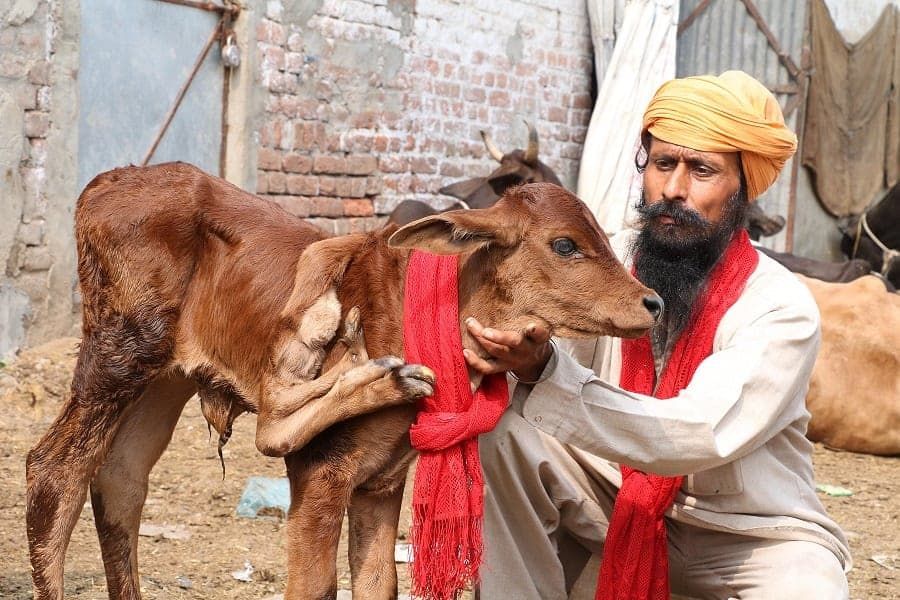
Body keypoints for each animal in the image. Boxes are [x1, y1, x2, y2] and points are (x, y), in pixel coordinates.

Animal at [26, 162, 660, 596]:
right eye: (564, 244)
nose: (651, 302)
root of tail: (105, 183)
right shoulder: (320, 470)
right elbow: (315, 585)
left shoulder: (382, 483)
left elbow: (377, 583)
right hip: (121, 351)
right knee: (55, 470)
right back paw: (366, 371)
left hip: (166, 378)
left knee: (120, 477)